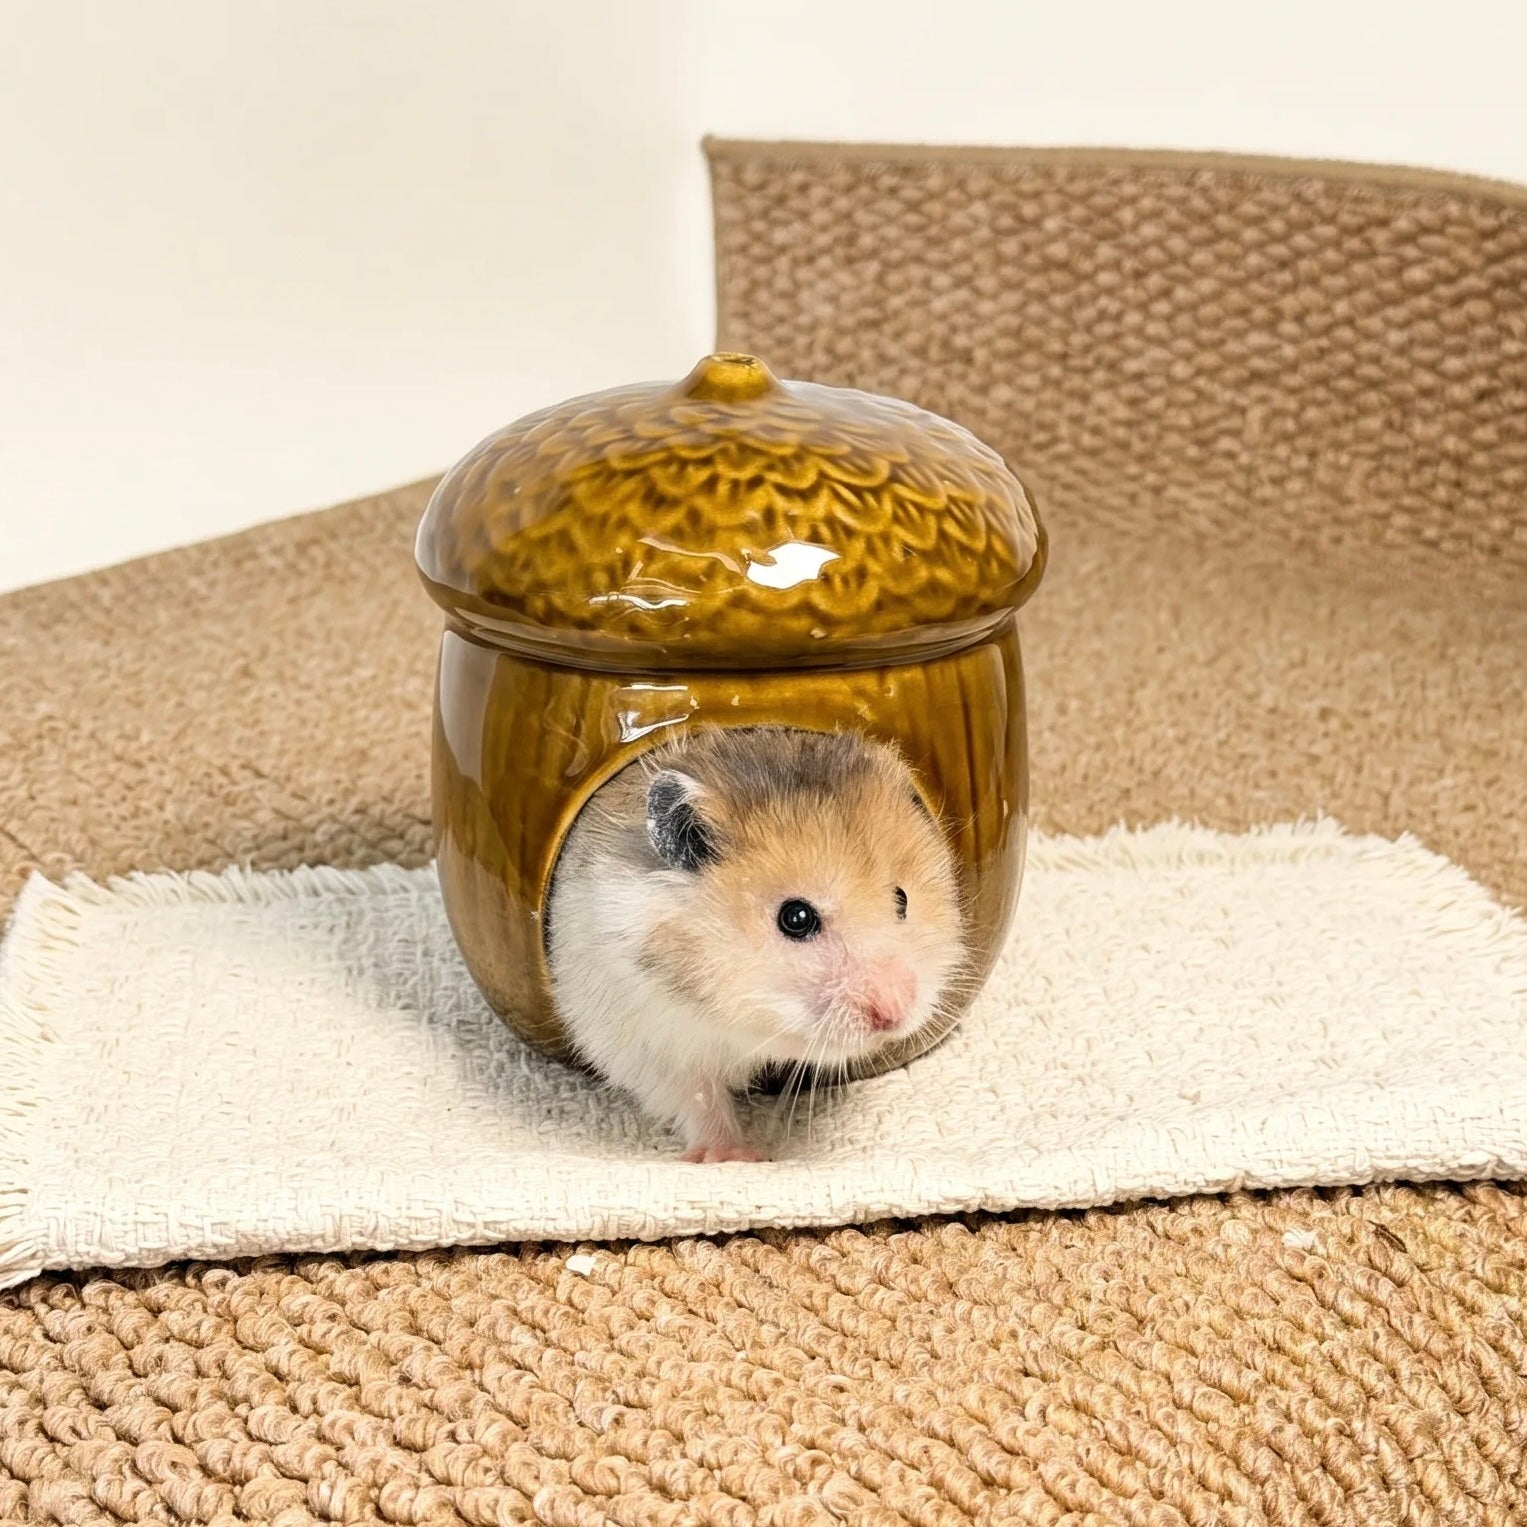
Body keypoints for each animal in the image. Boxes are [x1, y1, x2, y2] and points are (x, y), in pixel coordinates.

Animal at [545, 726, 965, 1161]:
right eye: (796, 918)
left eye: (902, 898)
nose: (894, 1014)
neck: (741, 1023)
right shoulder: (646, 1036)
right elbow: (699, 1096)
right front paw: (738, 1158)